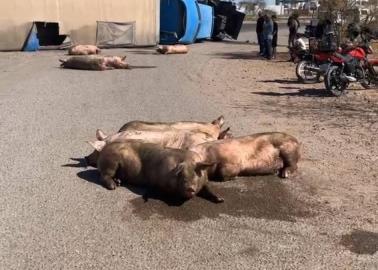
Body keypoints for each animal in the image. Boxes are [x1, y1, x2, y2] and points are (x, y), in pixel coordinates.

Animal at [96, 141, 224, 202]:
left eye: (196, 175)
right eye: (182, 175)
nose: (190, 187)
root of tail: (103, 150)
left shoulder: (205, 181)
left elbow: (209, 189)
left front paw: (221, 200)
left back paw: (118, 182)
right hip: (111, 162)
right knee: (104, 175)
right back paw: (113, 186)